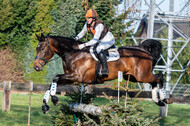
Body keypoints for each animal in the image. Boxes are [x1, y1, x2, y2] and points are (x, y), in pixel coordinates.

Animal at [33, 33, 172, 113]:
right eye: (36, 48)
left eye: (42, 48)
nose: (36, 67)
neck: (73, 53)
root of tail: (143, 50)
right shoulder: (70, 78)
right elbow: (52, 82)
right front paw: (45, 104)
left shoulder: (77, 76)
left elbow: (55, 78)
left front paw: (54, 99)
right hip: (134, 77)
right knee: (154, 80)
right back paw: (158, 100)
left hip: (142, 76)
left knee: (159, 77)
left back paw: (164, 99)